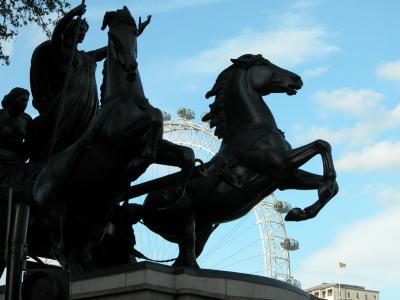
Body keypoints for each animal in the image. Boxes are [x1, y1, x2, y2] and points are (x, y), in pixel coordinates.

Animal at [139, 54, 340, 268]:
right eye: (264, 63)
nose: (297, 78)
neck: (250, 128)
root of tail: (143, 206)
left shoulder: (286, 177)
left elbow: (329, 177)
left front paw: (303, 211)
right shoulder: (279, 163)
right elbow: (321, 144)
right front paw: (318, 193)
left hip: (202, 225)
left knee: (184, 255)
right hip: (185, 219)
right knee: (186, 254)